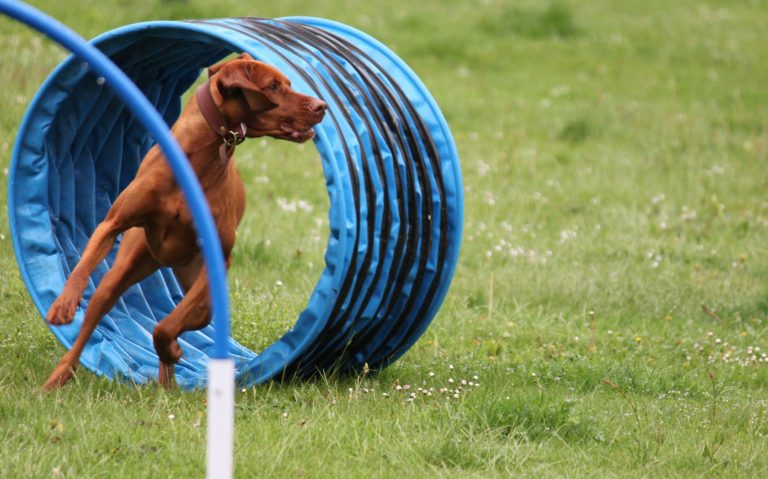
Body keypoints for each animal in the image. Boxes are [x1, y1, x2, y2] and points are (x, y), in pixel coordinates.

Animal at [41, 53, 328, 390]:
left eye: (288, 83)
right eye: (273, 86)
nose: (322, 105)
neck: (198, 157)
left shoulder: (218, 260)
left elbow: (165, 327)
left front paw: (172, 351)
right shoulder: (113, 223)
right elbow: (84, 263)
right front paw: (64, 302)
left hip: (200, 289)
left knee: (185, 318)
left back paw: (168, 379)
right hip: (124, 271)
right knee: (94, 316)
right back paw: (57, 378)